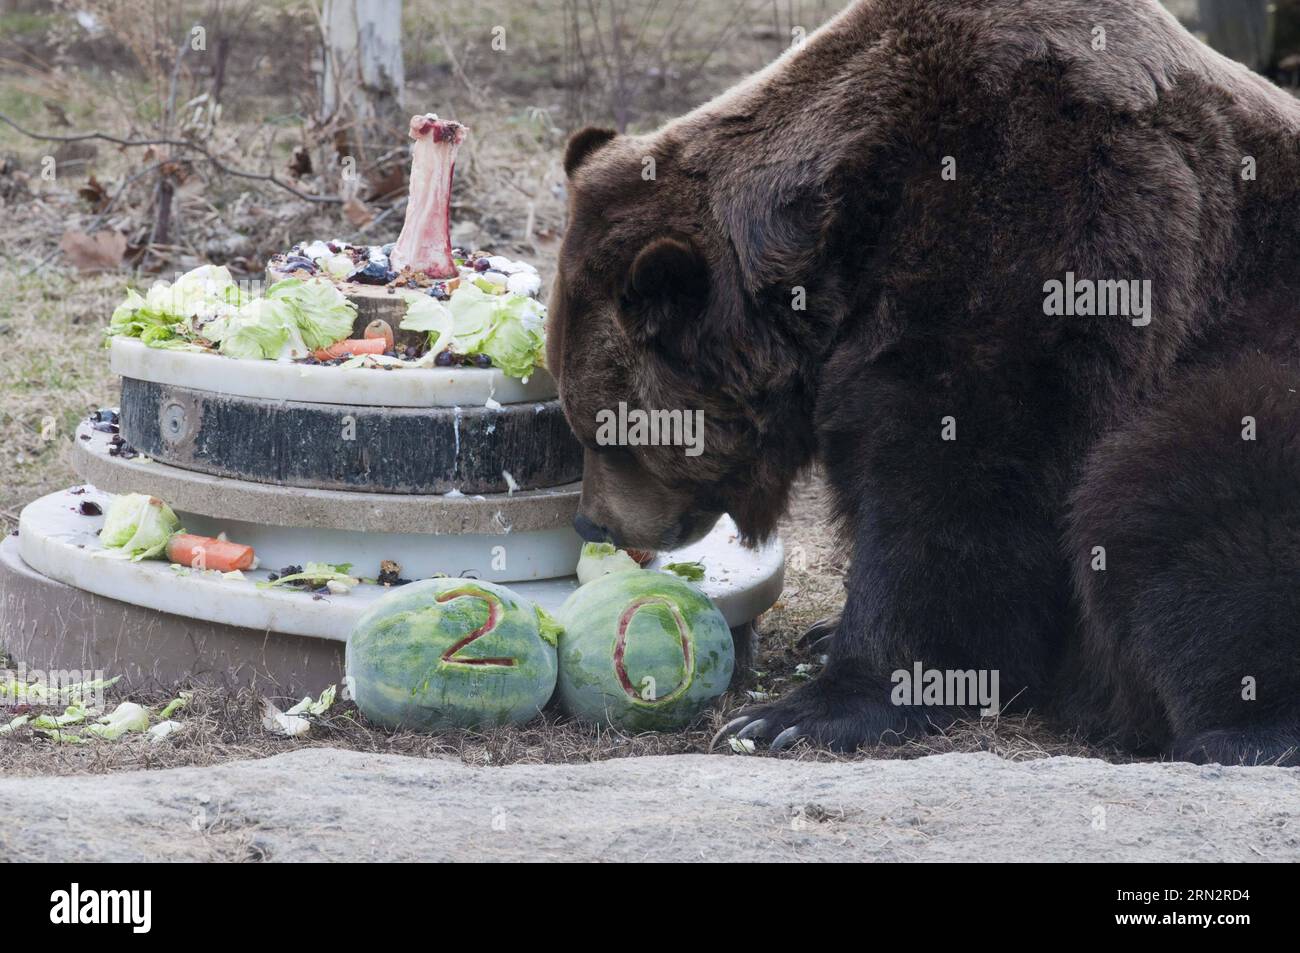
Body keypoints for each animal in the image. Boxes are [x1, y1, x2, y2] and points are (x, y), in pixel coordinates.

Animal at [547, 0, 1300, 764]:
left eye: (606, 433)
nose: (592, 520)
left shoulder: (1048, 224)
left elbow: (958, 477)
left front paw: (799, 711)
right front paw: (824, 640)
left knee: (1186, 477)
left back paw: (1245, 728)